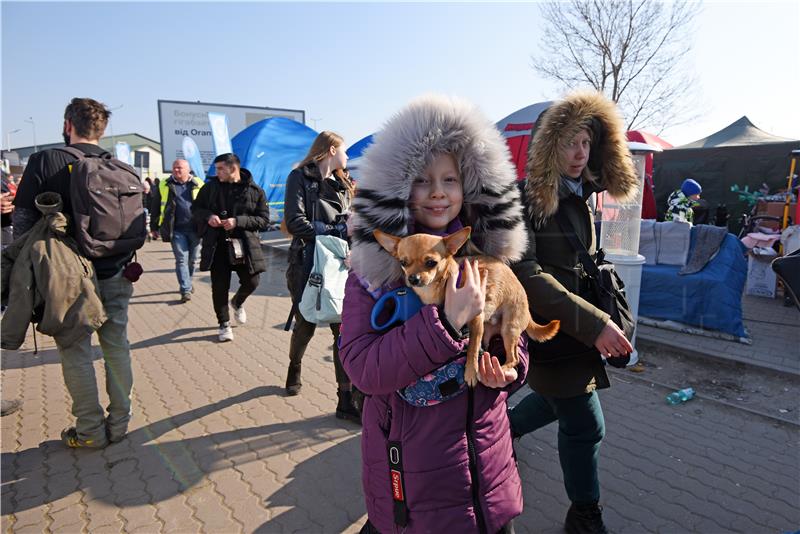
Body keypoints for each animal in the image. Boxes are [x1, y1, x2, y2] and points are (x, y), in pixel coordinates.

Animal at [374, 228, 556, 388]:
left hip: (509, 328)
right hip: (489, 329)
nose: (413, 278)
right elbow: (474, 346)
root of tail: (528, 309)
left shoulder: (476, 319)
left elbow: (472, 349)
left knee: (514, 358)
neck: (439, 286)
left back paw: (502, 368)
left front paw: (471, 372)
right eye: (403, 263)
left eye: (431, 263)